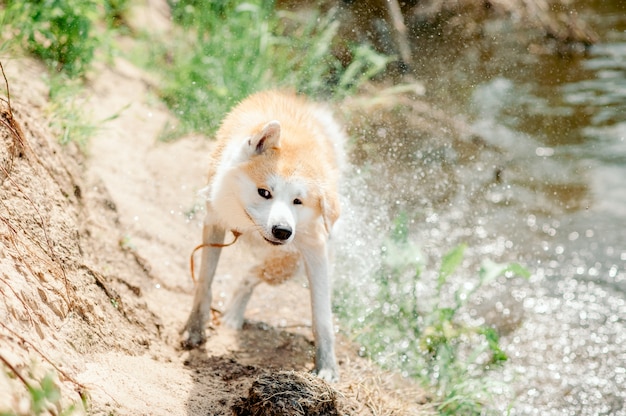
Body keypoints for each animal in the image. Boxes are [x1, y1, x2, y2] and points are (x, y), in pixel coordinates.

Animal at [180, 90, 344, 380]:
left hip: (291, 263)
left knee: (252, 275)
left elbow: (322, 318)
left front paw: (326, 366)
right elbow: (204, 284)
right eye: (264, 192)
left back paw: (234, 314)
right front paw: (195, 328)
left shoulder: (314, 247)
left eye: (297, 201)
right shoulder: (214, 222)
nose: (282, 231)